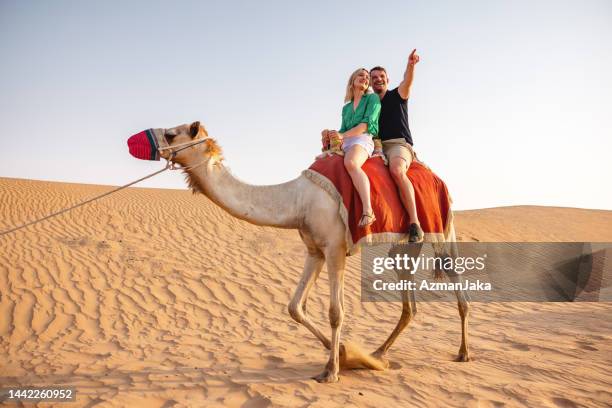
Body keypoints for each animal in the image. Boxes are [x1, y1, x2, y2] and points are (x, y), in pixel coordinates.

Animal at [157, 120, 468, 382]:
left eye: (172, 134)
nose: (156, 147)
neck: (298, 200)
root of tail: (438, 178)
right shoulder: (314, 250)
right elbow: (294, 307)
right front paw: (343, 352)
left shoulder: (335, 248)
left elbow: (336, 312)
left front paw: (331, 370)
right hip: (403, 245)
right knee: (409, 304)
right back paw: (378, 354)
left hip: (443, 226)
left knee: (454, 278)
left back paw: (463, 353)